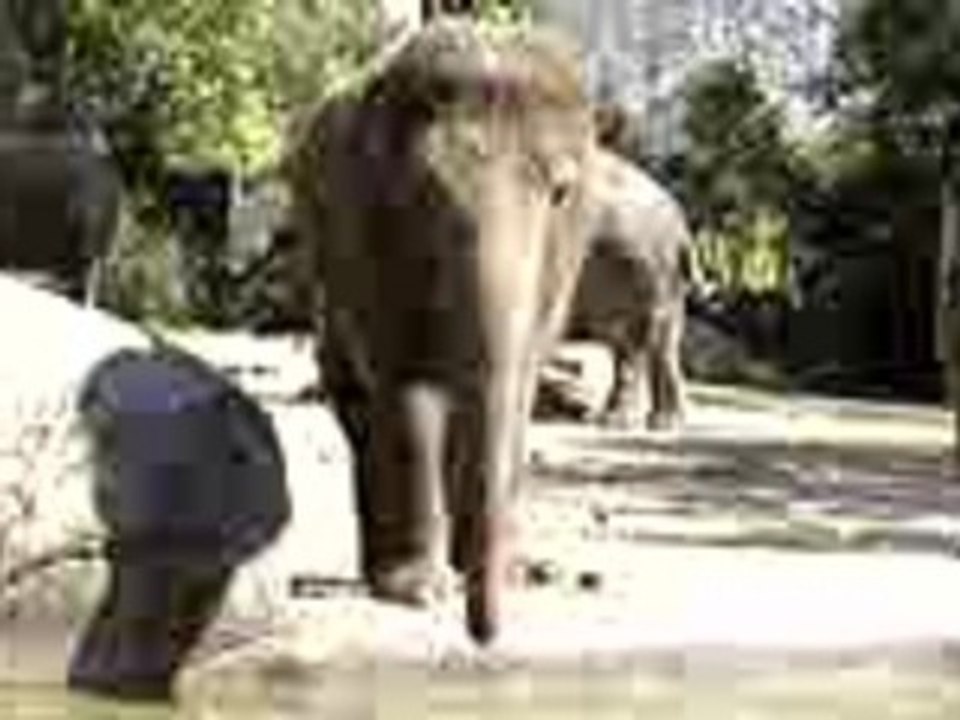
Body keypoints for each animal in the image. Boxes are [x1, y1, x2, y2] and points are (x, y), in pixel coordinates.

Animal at [284, 18, 595, 644]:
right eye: (422, 196)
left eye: (561, 193)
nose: (484, 638)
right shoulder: (364, 229)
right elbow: (406, 382)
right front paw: (420, 592)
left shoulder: (563, 264)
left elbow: (519, 384)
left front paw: (508, 573)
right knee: (359, 407)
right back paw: (386, 574)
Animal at [562, 148, 693, 430]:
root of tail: (681, 227)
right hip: (657, 276)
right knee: (662, 343)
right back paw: (665, 422)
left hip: (637, 268)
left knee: (633, 343)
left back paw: (616, 421)